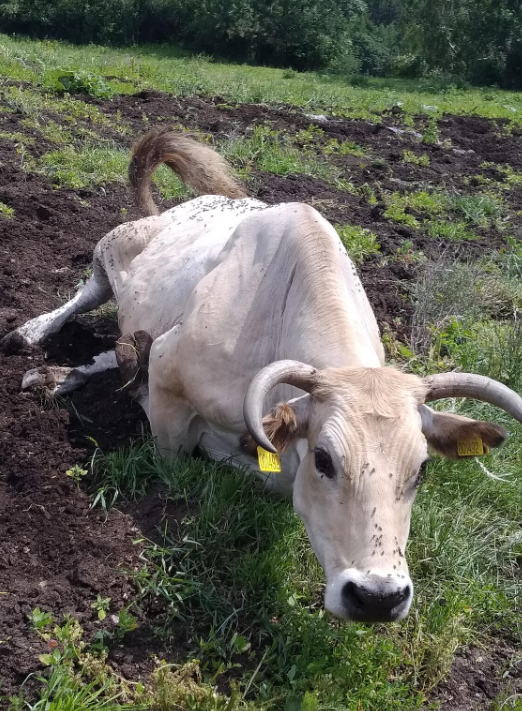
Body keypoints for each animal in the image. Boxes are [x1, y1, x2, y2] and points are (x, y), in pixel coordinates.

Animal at [4, 129, 520, 624]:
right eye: (324, 460)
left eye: (423, 468)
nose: (378, 597)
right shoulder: (170, 378)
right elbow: (173, 448)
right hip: (112, 245)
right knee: (86, 294)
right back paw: (36, 341)